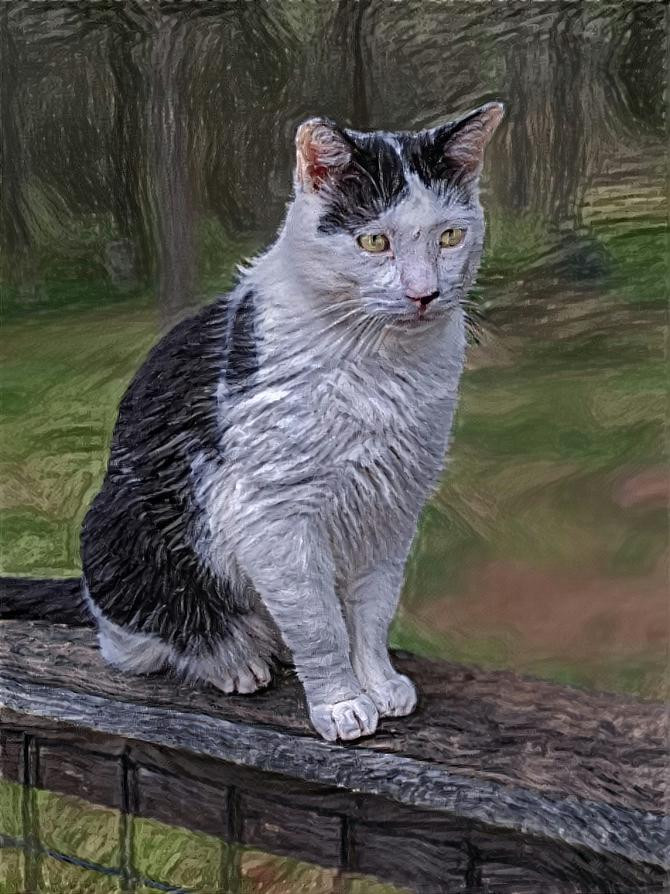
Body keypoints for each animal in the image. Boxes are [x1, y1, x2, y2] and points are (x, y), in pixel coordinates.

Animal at [13, 100, 506, 744]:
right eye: (373, 241)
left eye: (449, 236)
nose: (424, 293)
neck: (380, 368)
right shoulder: (273, 517)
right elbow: (320, 626)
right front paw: (341, 705)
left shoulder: (390, 510)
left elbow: (371, 612)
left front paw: (377, 682)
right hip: (120, 532)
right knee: (133, 644)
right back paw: (233, 660)